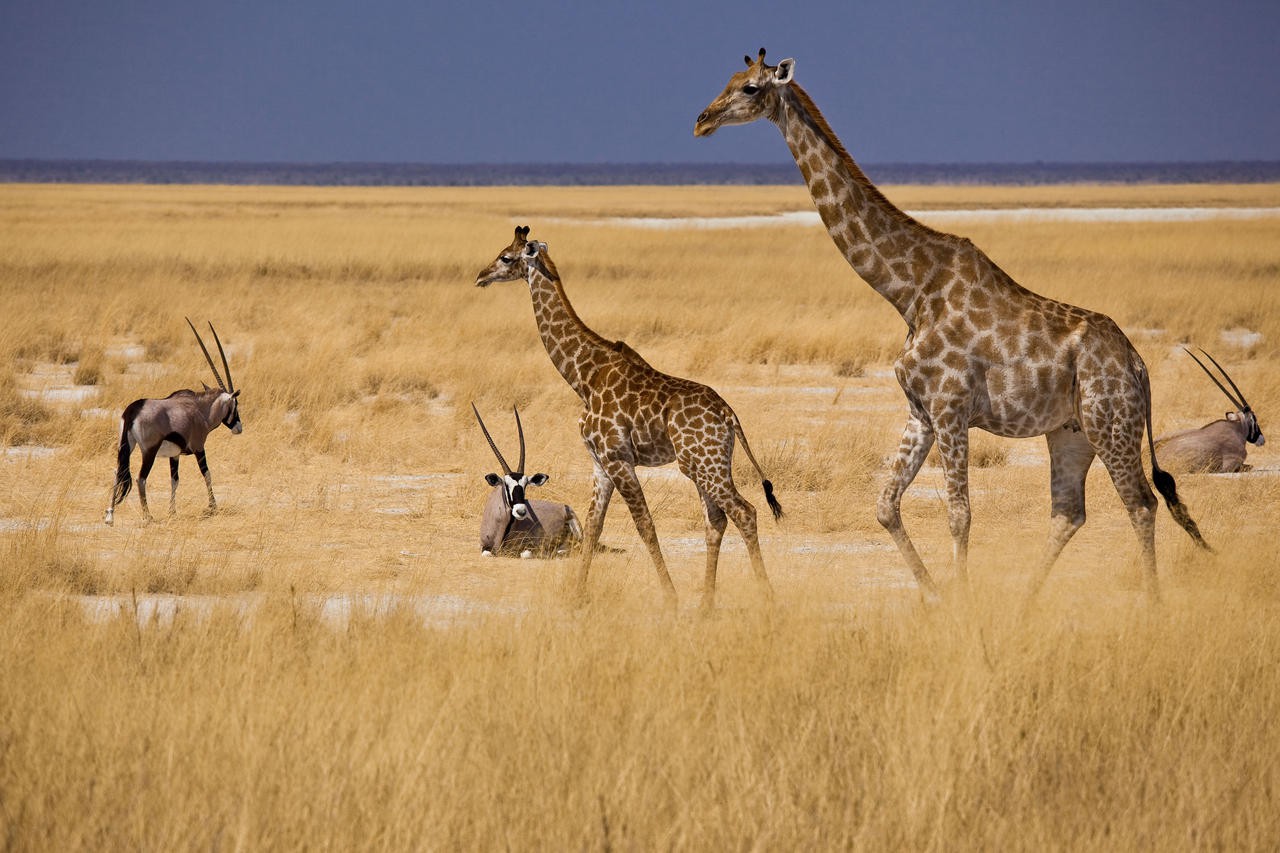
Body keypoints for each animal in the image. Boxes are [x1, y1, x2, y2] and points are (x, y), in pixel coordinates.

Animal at [478, 225, 778, 612]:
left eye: (506, 257)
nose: (481, 276)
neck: (584, 377)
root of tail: (730, 415)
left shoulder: (619, 458)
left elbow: (644, 524)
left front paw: (669, 596)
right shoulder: (600, 463)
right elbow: (593, 526)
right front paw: (577, 595)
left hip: (704, 464)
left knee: (745, 512)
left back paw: (765, 597)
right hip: (706, 465)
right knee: (716, 521)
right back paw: (706, 604)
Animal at [701, 49, 1208, 601]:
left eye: (750, 88)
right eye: (729, 79)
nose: (702, 120)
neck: (909, 291)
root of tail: (1138, 365)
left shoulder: (950, 406)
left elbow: (959, 514)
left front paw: (960, 600)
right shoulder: (920, 410)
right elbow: (885, 506)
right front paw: (936, 595)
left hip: (1110, 420)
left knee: (1141, 502)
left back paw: (1150, 601)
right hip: (1070, 430)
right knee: (1069, 512)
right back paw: (1024, 604)